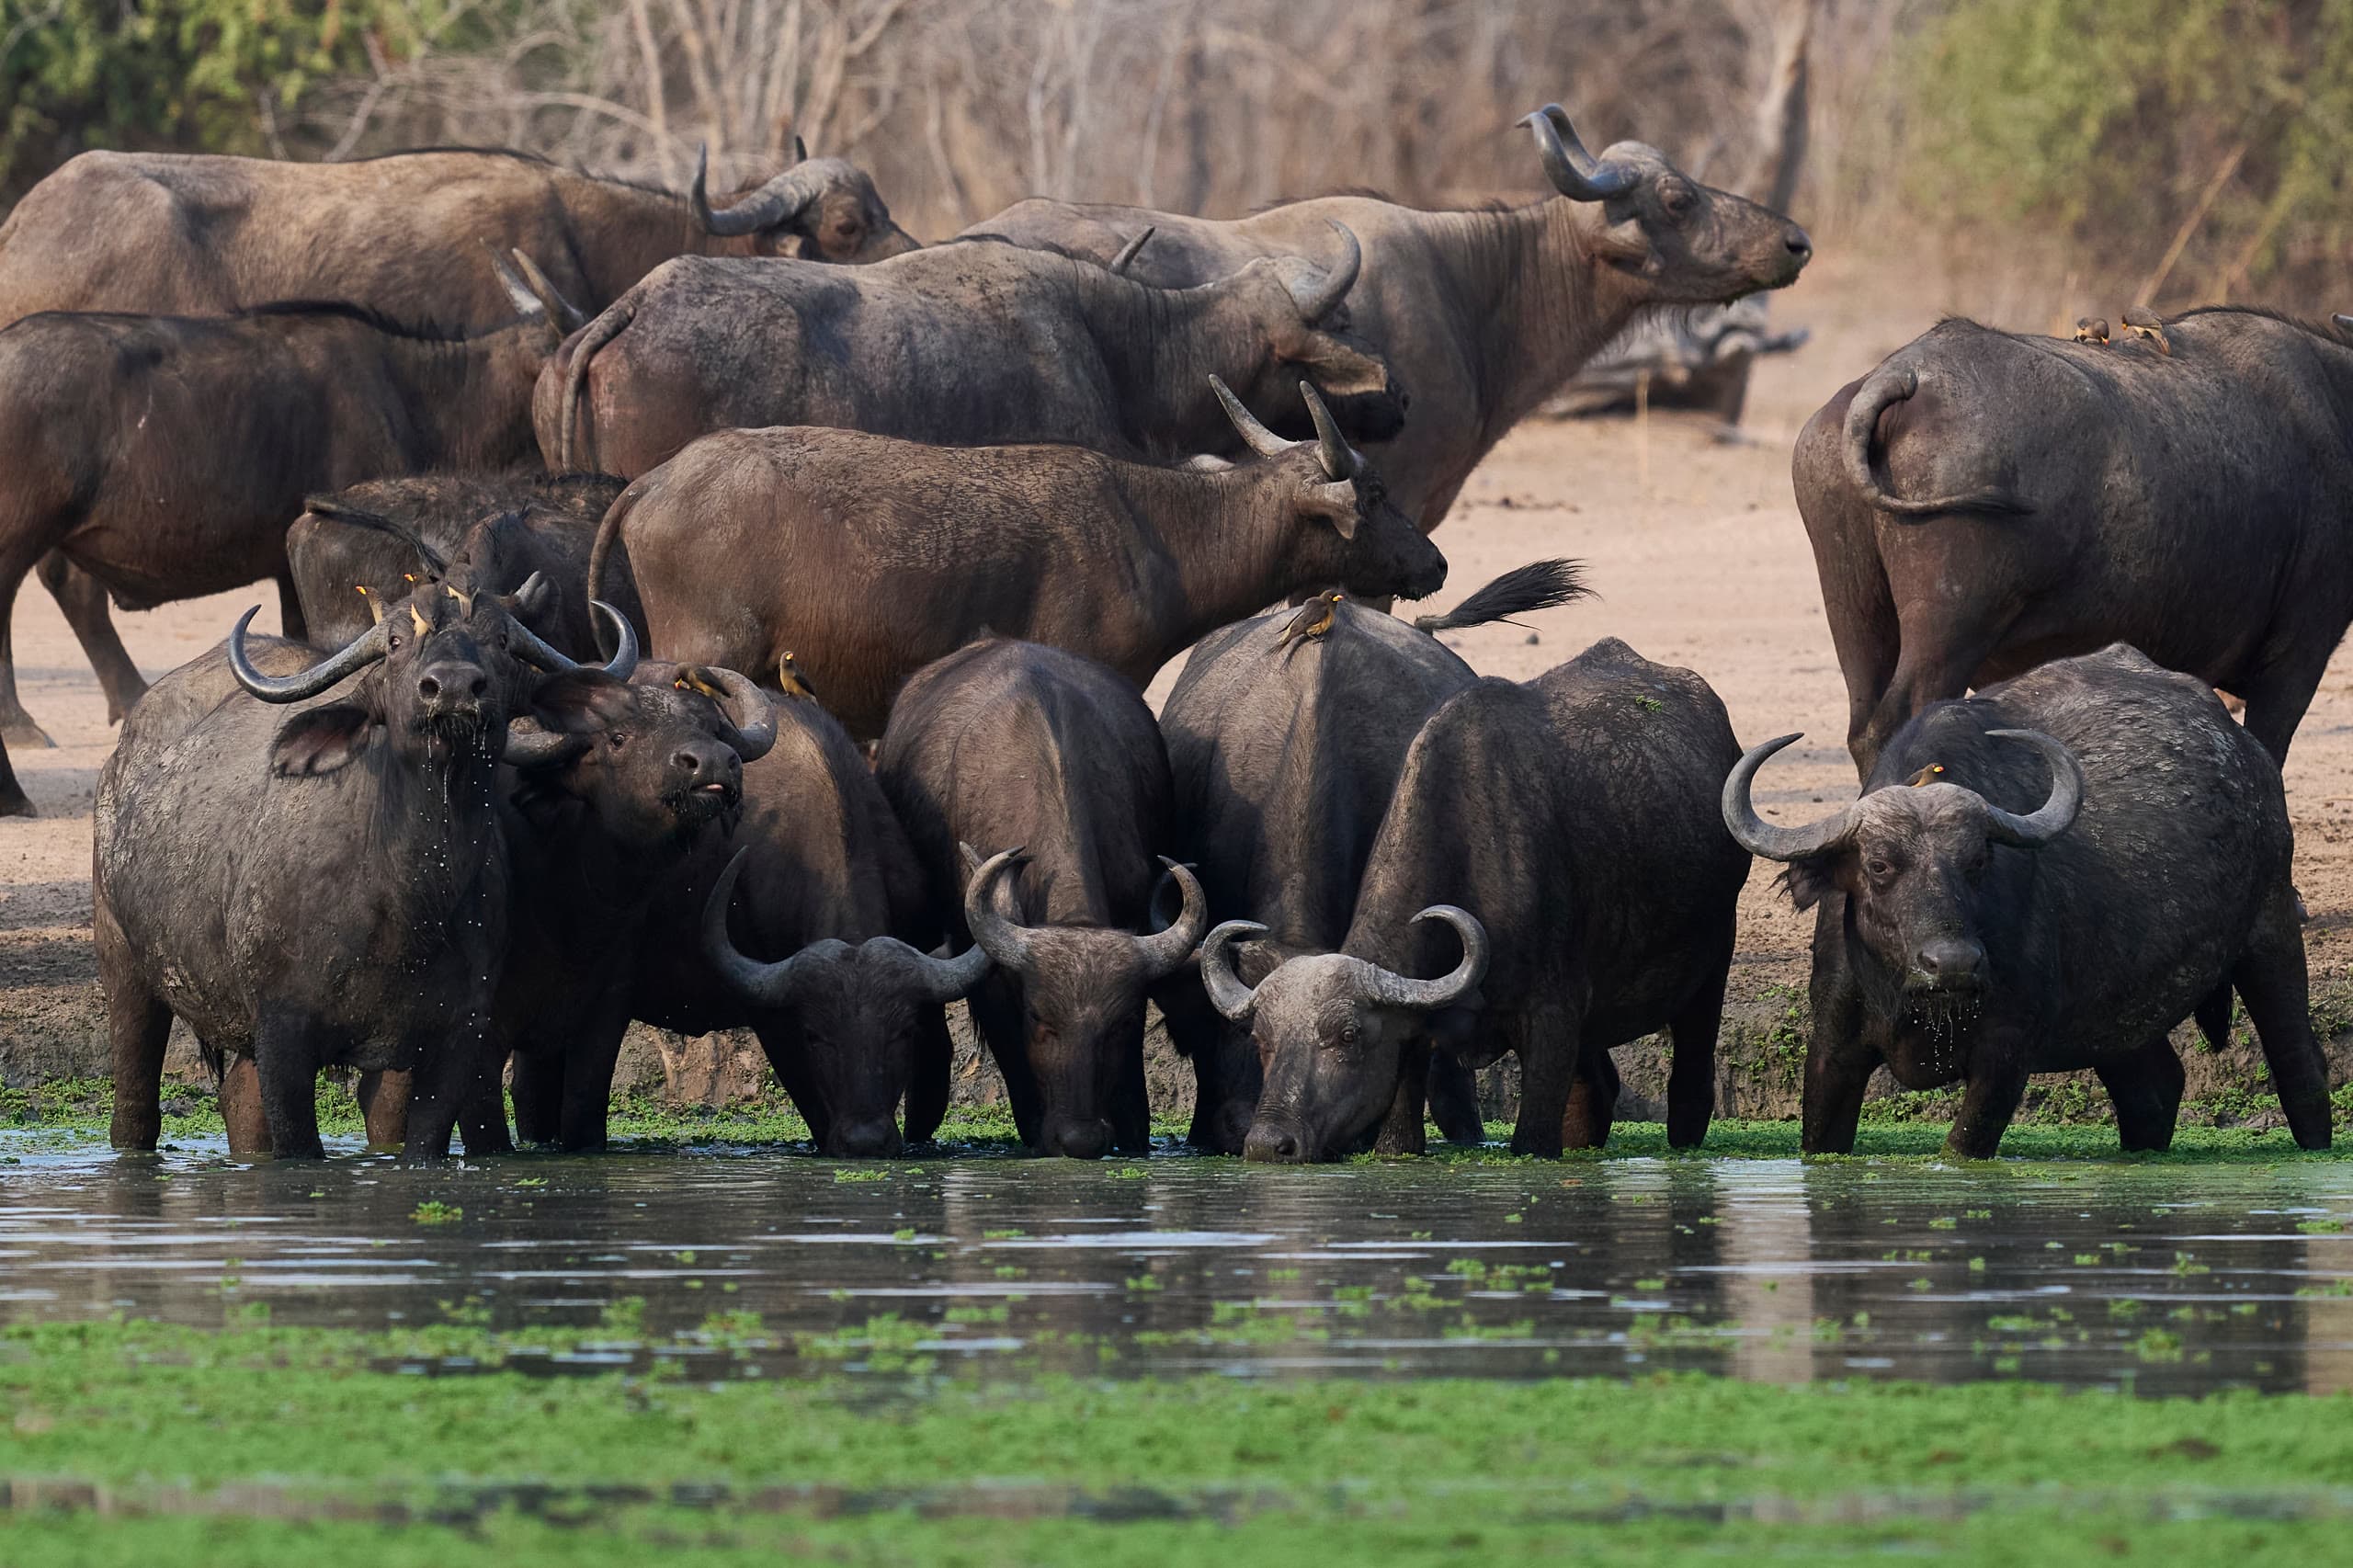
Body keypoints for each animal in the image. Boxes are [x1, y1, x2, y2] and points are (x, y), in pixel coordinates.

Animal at [97, 574, 638, 1161]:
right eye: (397, 643)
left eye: (499, 640)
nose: (451, 688)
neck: (407, 902)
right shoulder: (283, 1032)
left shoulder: (456, 1040)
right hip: (123, 964)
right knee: (135, 1102)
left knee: (240, 1102)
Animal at [1203, 639, 1748, 1161]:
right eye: (1261, 1038)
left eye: (1349, 1035)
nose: (1269, 1144)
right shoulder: (1412, 1039)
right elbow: (1398, 1140)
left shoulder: (1552, 1020)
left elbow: (1534, 1140)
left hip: (1713, 965)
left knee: (1691, 1091)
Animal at [1724, 644, 2333, 1157]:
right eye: (1878, 866)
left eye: (1978, 862)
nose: (1953, 964)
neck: (1915, 999)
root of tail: (2250, 754)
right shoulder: (1832, 1050)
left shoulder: (2006, 1054)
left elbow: (1962, 1146)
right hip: (2121, 1013)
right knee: (2156, 1087)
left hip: (2273, 928)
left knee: (2301, 1064)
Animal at [1794, 308, 2353, 779]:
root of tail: (1907, 374)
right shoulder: (2297, 656)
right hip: (1949, 627)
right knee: (1908, 716)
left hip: (1853, 611)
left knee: (1865, 728)